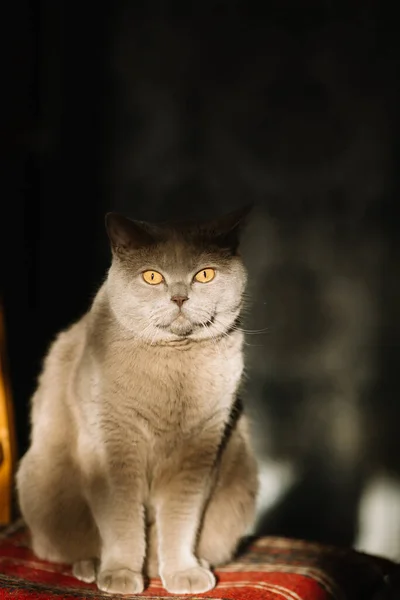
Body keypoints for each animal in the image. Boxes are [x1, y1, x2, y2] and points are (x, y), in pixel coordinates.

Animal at [14, 206, 260, 596]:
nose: (179, 297)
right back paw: (90, 567)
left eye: (204, 274)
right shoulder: (112, 443)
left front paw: (180, 571)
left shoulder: (202, 448)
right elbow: (122, 519)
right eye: (152, 276)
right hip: (39, 480)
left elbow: (179, 519)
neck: (174, 372)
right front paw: (122, 573)